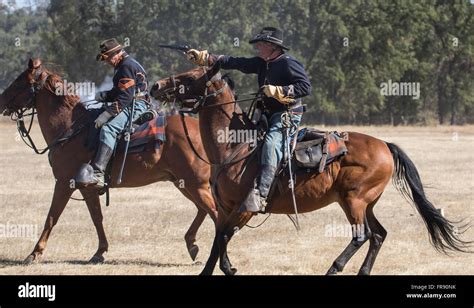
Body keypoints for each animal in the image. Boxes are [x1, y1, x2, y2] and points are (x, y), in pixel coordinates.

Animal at [0, 58, 218, 264]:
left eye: (19, 82)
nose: (1, 102)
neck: (70, 128)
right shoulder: (87, 188)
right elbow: (97, 217)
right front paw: (100, 252)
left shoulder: (63, 183)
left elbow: (52, 217)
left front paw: (34, 253)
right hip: (184, 183)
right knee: (203, 210)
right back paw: (192, 244)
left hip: (195, 184)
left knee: (214, 212)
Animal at [151, 63, 470, 276]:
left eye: (190, 76)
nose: (156, 86)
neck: (235, 145)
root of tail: (384, 144)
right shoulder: (226, 207)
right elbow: (219, 239)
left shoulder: (245, 208)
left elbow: (225, 237)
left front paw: (228, 268)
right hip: (365, 203)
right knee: (378, 234)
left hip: (354, 201)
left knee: (362, 235)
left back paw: (334, 268)